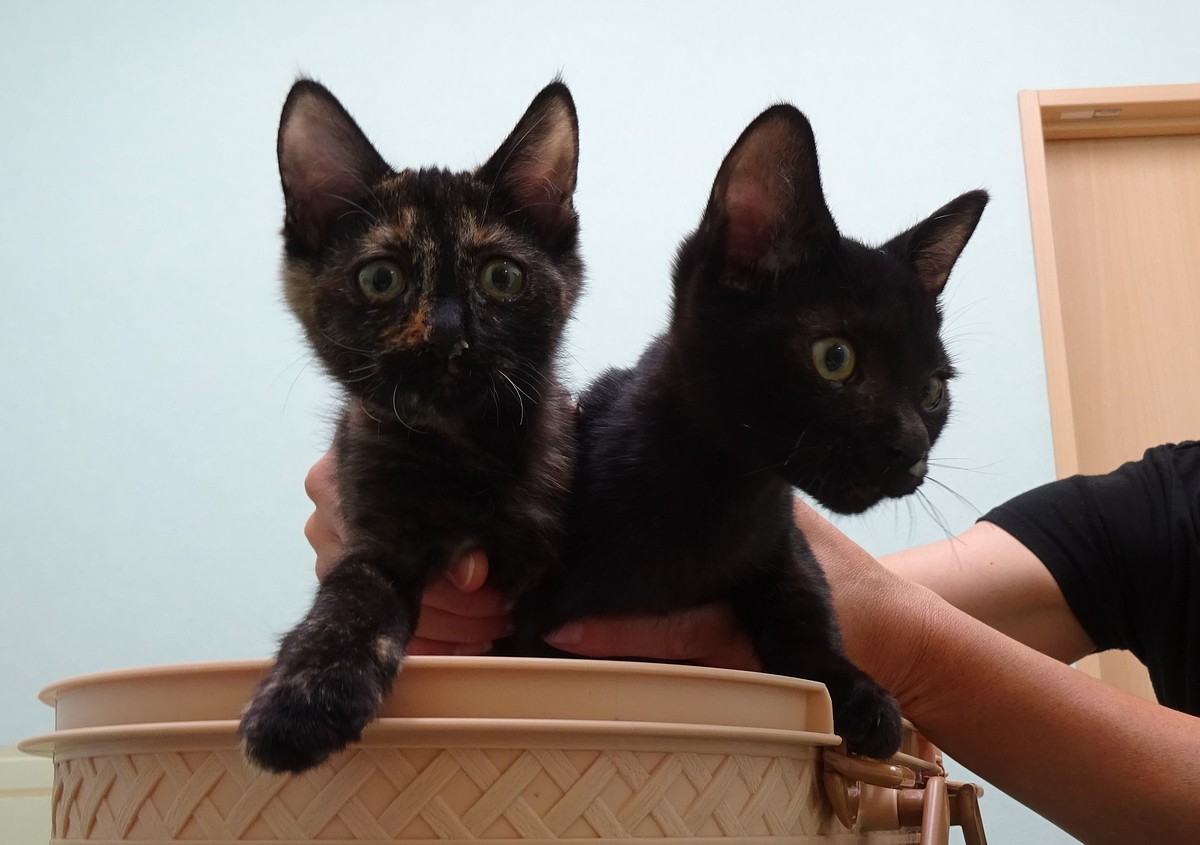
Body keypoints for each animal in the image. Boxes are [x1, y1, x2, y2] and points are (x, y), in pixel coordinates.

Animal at [238, 78, 583, 773]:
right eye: (380, 278)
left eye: (502, 276)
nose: (447, 334)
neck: (467, 450)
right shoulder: (376, 533)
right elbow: (350, 602)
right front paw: (300, 702)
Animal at [514, 104, 987, 759]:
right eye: (834, 357)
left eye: (933, 391)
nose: (911, 450)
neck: (723, 494)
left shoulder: (783, 539)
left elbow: (805, 605)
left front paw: (858, 694)